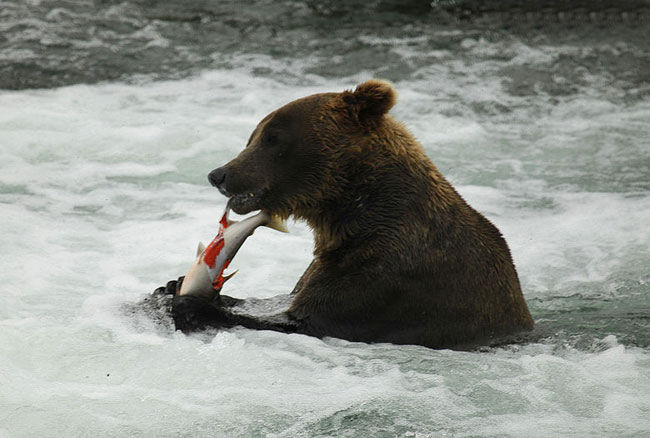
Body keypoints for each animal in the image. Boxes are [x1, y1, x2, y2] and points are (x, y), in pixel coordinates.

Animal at [166, 79, 532, 350]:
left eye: (273, 138)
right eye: (253, 136)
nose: (219, 174)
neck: (349, 214)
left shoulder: (390, 277)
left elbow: (308, 321)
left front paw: (192, 306)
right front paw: (174, 285)